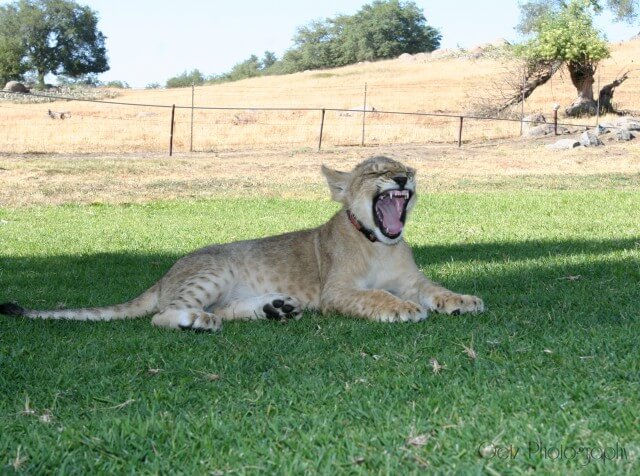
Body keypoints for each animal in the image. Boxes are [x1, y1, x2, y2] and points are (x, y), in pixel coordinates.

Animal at [0, 156, 484, 331]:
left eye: (408, 168)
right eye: (377, 170)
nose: (403, 179)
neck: (381, 243)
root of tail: (165, 274)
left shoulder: (412, 279)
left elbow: (435, 289)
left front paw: (463, 300)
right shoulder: (335, 292)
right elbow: (377, 296)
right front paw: (401, 309)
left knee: (228, 310)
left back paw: (274, 309)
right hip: (213, 272)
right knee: (161, 316)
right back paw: (197, 321)